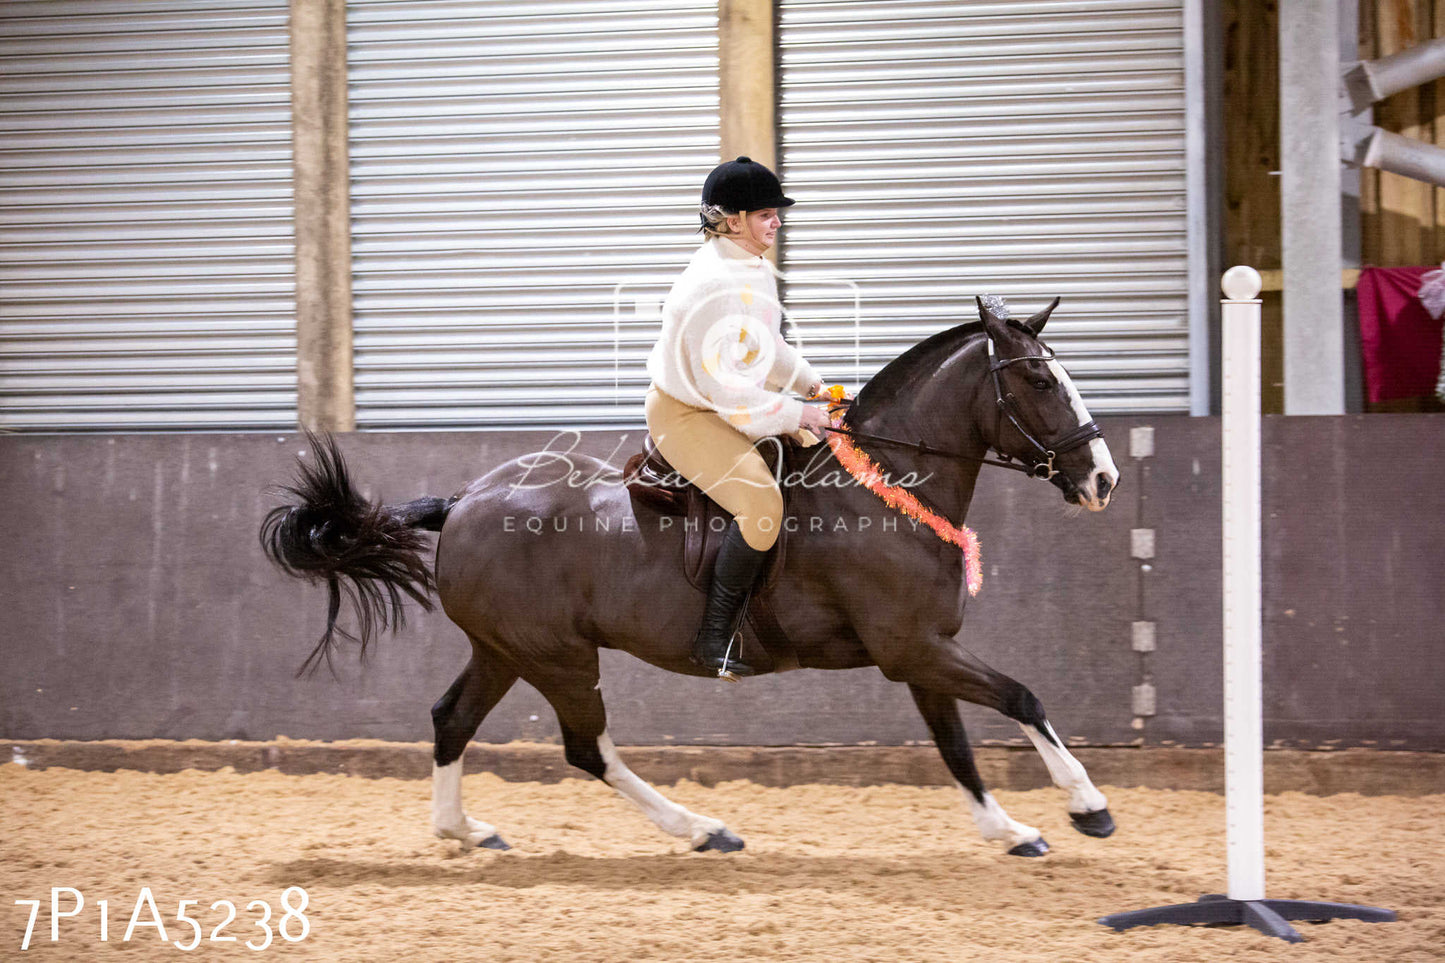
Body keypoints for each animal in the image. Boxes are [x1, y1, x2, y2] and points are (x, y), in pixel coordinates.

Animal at [262, 296, 1115, 850]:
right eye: (1041, 381)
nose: (1102, 478)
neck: (883, 487)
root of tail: (466, 500)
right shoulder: (915, 648)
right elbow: (1022, 697)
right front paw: (1087, 805)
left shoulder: (919, 652)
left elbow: (957, 745)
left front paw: (1008, 828)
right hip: (557, 657)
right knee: (585, 748)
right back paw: (701, 828)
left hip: (505, 650)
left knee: (452, 719)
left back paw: (463, 828)